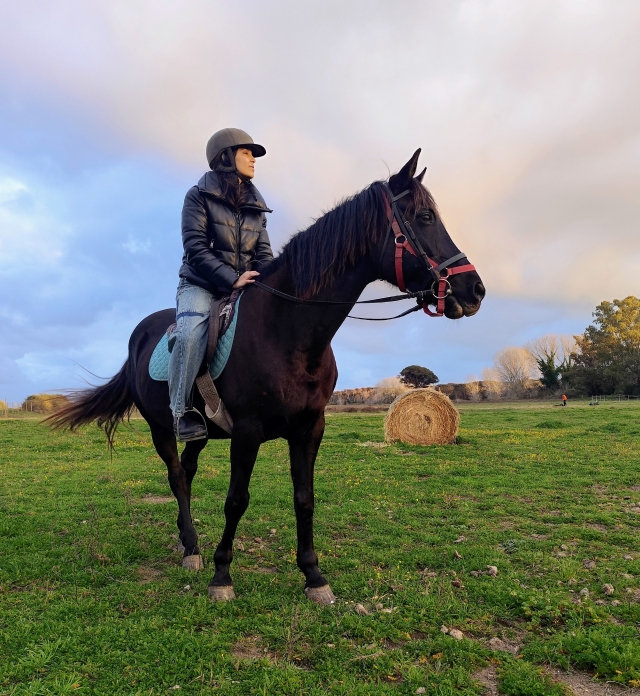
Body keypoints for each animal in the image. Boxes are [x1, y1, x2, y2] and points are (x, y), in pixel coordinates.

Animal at [48, 150, 485, 604]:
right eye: (424, 217)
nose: (475, 289)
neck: (288, 331)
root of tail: (142, 332)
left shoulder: (310, 428)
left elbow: (305, 498)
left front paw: (313, 576)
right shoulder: (247, 430)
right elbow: (236, 500)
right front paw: (222, 576)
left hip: (199, 432)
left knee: (187, 471)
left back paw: (189, 543)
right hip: (161, 427)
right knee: (175, 476)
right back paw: (193, 548)